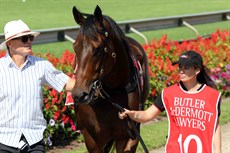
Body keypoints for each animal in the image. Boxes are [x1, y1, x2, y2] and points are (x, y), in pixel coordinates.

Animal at [72, 5, 151, 152]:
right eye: (75, 47)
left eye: (98, 48)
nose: (79, 94)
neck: (113, 94)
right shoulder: (92, 140)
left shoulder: (128, 136)